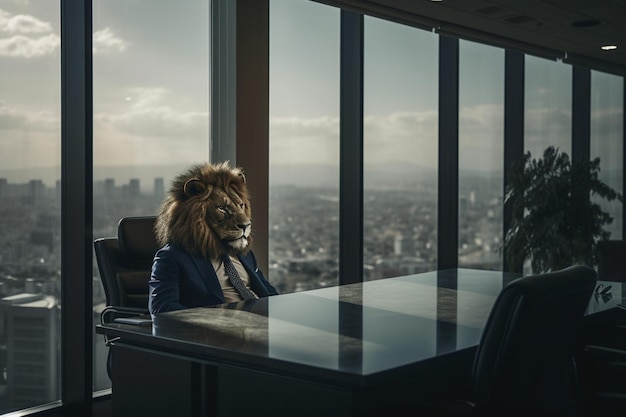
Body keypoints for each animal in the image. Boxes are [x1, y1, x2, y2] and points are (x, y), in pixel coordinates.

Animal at [149, 162, 276, 312]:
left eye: (241, 205)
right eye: (222, 208)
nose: (246, 225)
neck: (219, 248)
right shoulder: (167, 265)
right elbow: (166, 302)